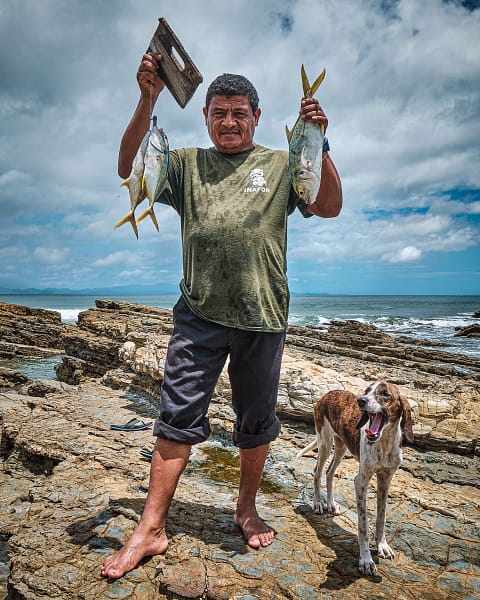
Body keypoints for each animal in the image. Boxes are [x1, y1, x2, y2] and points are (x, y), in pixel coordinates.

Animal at [296, 382, 412, 576]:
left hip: (341, 446)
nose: (361, 400)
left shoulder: (385, 480)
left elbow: (381, 517)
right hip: (325, 442)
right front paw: (366, 560)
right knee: (317, 471)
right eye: (367, 391)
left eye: (385, 393)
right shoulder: (361, 482)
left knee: (329, 472)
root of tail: (327, 394)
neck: (384, 443)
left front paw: (382, 546)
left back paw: (331, 504)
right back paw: (318, 503)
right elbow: (363, 526)